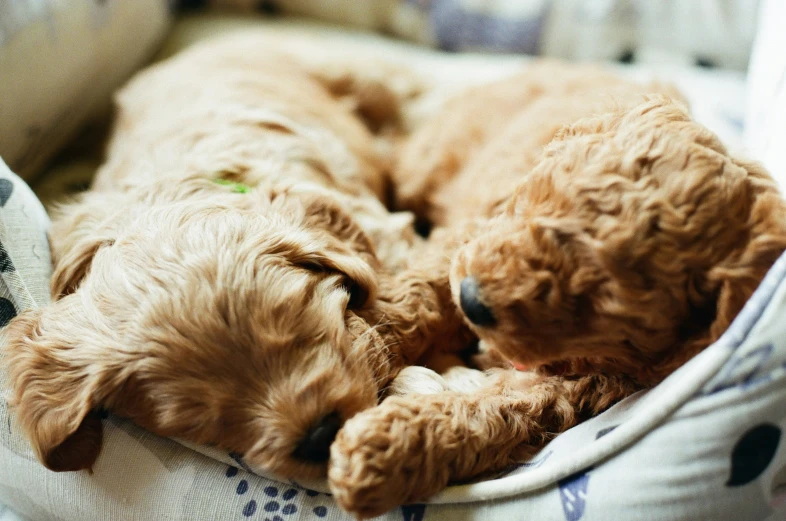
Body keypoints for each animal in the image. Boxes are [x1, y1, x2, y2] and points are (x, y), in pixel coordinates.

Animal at [324, 74, 784, 516]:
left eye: (598, 297)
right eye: (537, 201)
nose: (472, 299)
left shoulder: (585, 384)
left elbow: (505, 409)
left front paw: (385, 450)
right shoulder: (478, 230)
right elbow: (422, 295)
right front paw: (371, 348)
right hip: (428, 160)